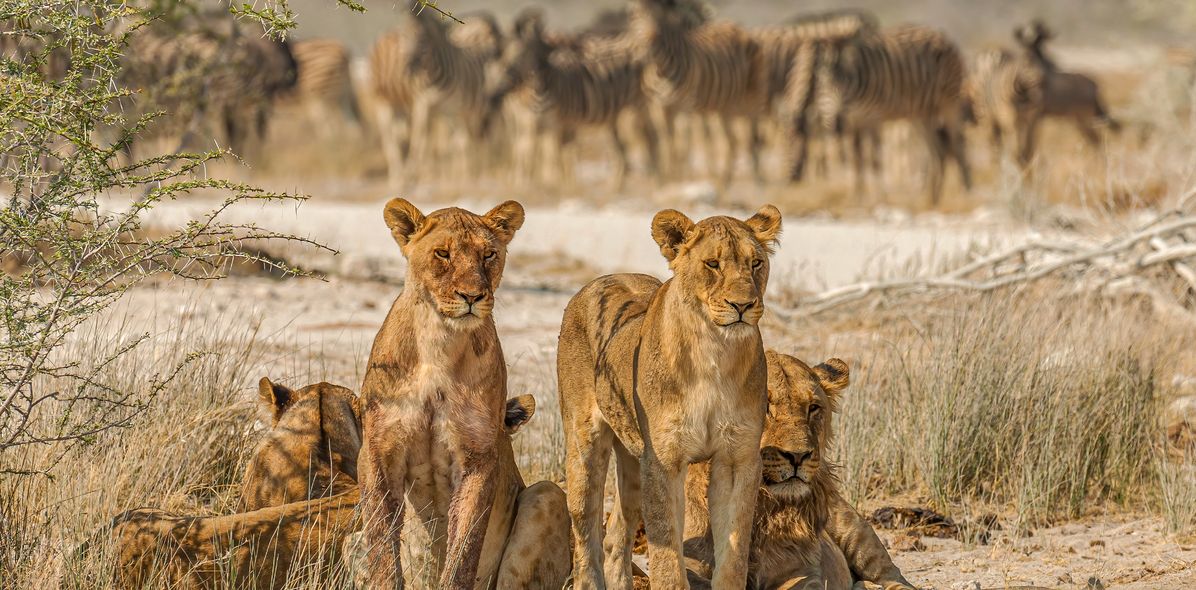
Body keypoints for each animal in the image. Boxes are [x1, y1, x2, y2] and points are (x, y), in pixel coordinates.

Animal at [357, 198, 569, 589]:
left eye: (488, 255)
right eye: (443, 253)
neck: (439, 343)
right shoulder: (379, 451)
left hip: (546, 494)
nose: (472, 296)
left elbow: (464, 548)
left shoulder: (478, 457)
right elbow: (381, 543)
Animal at [558, 205, 783, 589]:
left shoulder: (737, 457)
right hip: (584, 443)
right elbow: (666, 554)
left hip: (634, 460)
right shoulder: (664, 459)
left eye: (756, 263)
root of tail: (598, 280)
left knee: (616, 534)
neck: (715, 351)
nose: (743, 305)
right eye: (713, 264)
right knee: (586, 530)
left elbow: (735, 548)